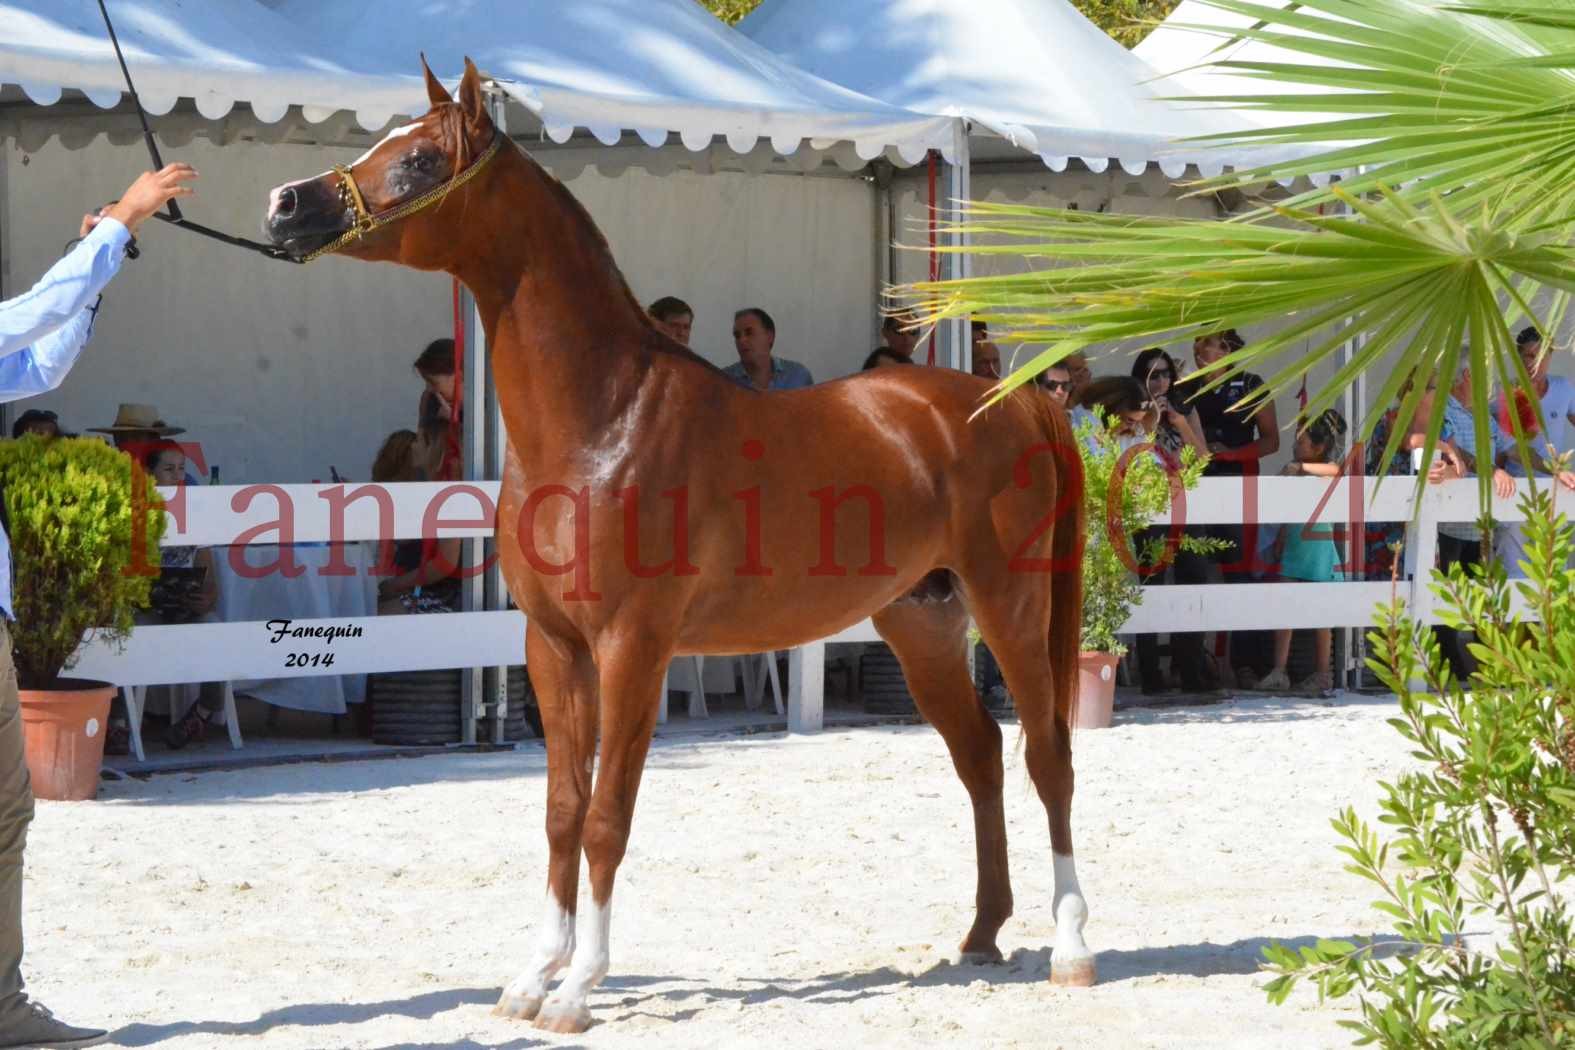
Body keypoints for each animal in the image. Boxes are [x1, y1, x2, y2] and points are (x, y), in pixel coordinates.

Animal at [264, 57, 1089, 1032]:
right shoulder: (552, 648)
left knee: (1046, 754)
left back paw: (1070, 950)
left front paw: (578, 988)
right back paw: (980, 935)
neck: (603, 420)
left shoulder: (633, 647)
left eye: (422, 158)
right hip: (920, 623)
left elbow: (607, 815)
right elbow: (561, 809)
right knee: (981, 757)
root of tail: (1021, 400)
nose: (284, 205)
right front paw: (531, 977)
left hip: (1011, 606)